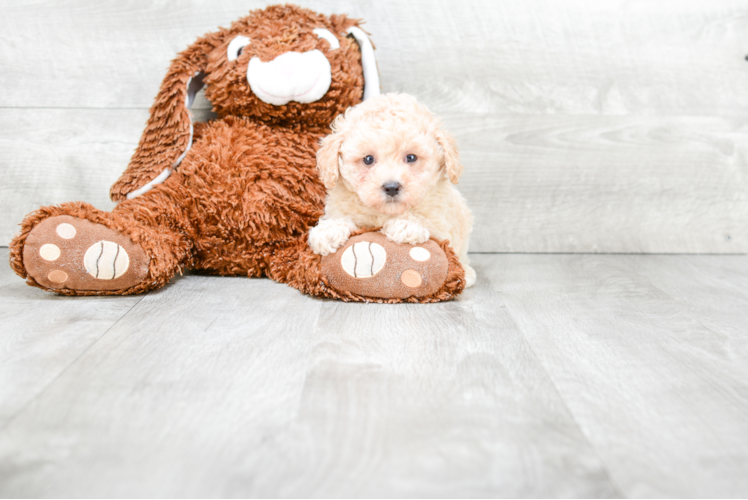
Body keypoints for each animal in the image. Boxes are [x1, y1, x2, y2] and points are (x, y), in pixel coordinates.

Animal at [306, 93, 476, 288]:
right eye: (368, 159)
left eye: (411, 157)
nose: (391, 187)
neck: (384, 212)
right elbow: (341, 219)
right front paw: (329, 231)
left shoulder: (441, 224)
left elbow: (427, 223)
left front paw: (406, 225)